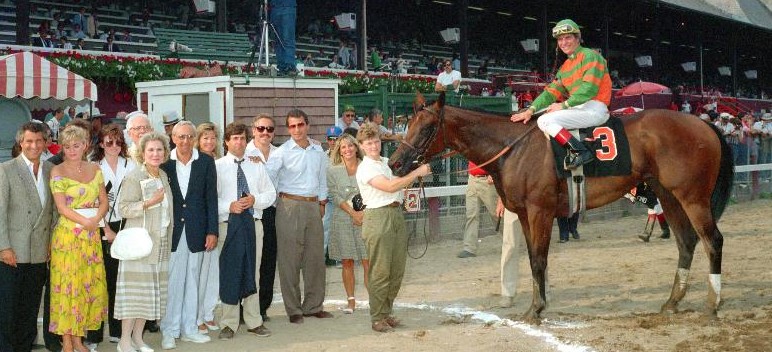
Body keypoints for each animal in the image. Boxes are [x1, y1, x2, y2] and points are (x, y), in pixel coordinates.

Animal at [390, 92, 732, 324]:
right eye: (409, 123)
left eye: (427, 127)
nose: (395, 163)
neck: (513, 147)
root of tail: (703, 124)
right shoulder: (524, 214)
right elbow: (532, 259)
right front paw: (537, 304)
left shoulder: (539, 211)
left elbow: (539, 260)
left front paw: (536, 309)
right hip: (668, 195)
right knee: (686, 242)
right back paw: (672, 302)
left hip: (692, 197)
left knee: (712, 240)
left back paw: (713, 304)